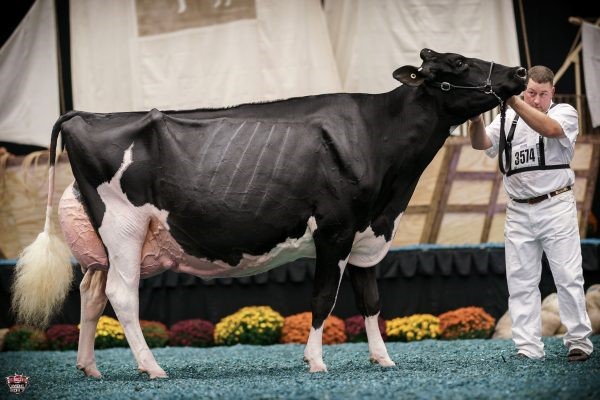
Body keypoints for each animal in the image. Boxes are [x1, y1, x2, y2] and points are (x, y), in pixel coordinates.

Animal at [10, 48, 524, 376]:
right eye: (458, 62)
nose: (519, 71)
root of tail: (83, 114)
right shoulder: (335, 230)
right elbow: (324, 298)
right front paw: (315, 361)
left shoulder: (366, 234)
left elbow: (372, 302)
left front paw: (383, 359)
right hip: (124, 227)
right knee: (121, 295)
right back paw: (152, 369)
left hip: (103, 242)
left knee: (92, 293)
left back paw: (90, 369)